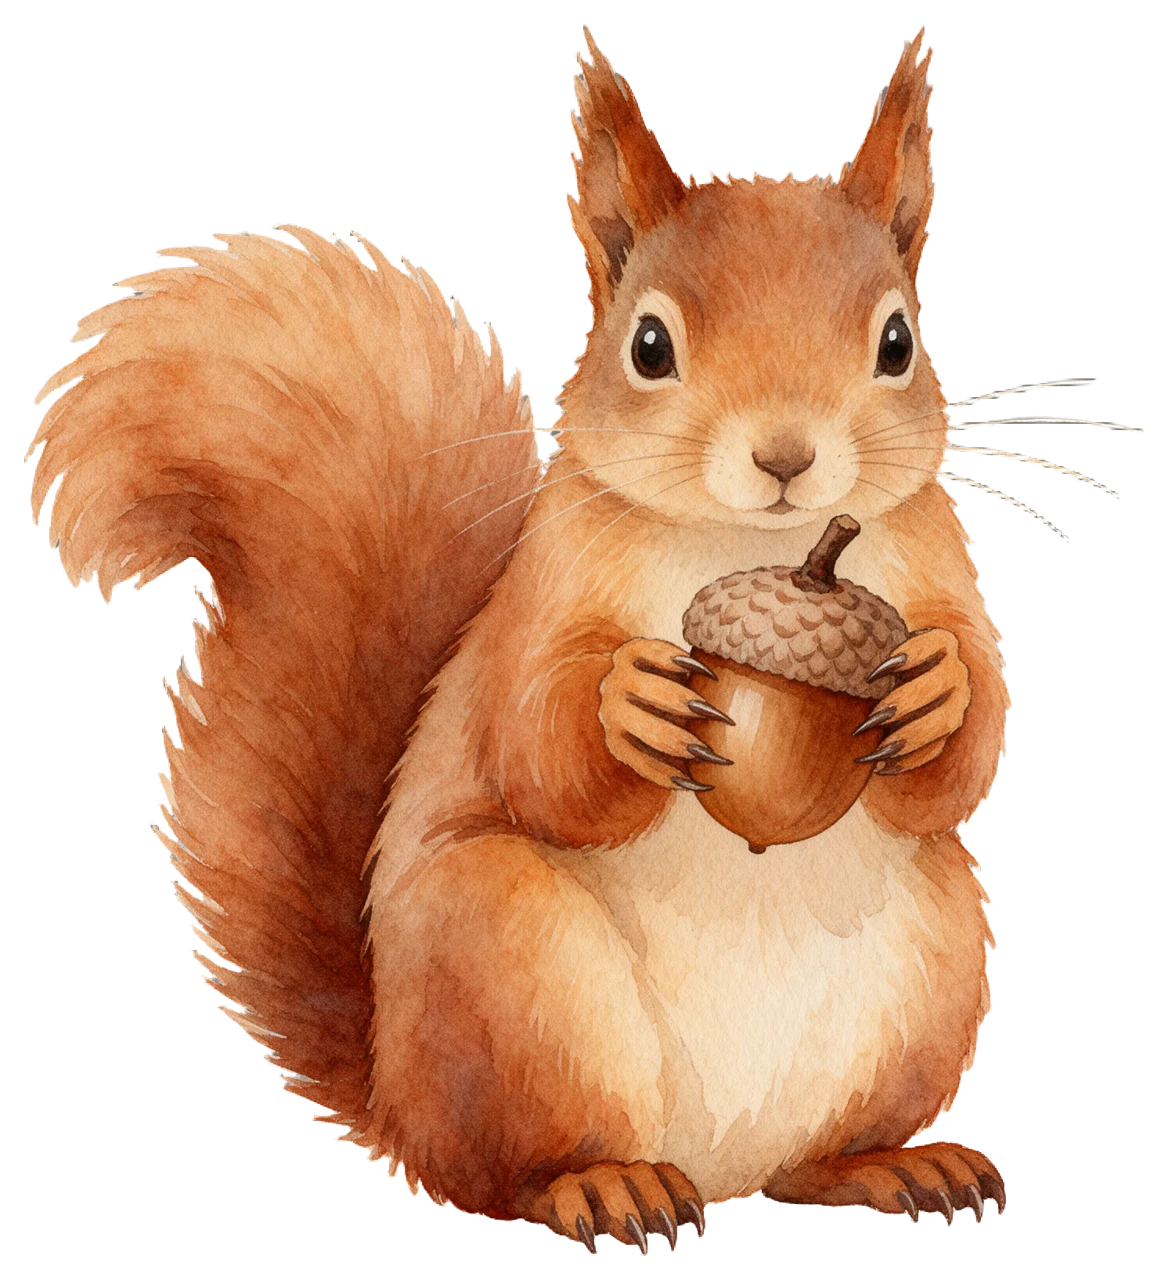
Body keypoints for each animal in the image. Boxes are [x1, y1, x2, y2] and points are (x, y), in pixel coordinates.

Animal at [28, 28, 1016, 1248]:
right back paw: (603, 1186)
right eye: (648, 344)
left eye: (898, 341)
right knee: (500, 1175)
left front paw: (937, 689)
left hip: (941, 948)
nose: (786, 457)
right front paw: (626, 703)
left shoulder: (939, 570)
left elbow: (970, 749)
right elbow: (534, 741)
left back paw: (890, 1164)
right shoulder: (538, 597)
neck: (758, 546)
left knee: (810, 1157)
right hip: (506, 963)